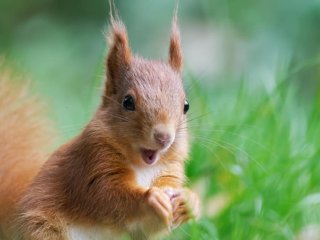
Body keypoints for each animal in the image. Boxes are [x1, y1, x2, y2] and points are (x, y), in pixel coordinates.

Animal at [0, 13, 200, 240]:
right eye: (127, 102)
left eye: (186, 106)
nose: (164, 136)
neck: (143, 167)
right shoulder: (92, 163)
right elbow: (106, 197)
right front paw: (150, 199)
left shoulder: (169, 171)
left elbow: (149, 226)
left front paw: (190, 201)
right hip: (43, 229)